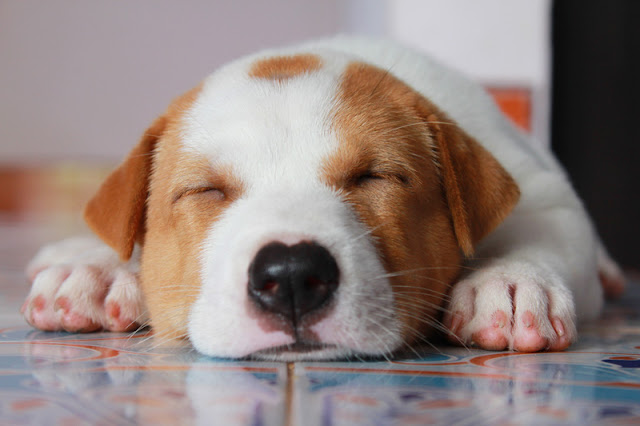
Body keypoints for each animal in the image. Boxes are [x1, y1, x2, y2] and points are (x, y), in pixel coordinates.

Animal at [22, 38, 624, 362]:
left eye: (375, 177)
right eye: (206, 190)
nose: (290, 275)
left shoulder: (545, 194)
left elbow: (546, 232)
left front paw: (512, 282)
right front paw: (97, 269)